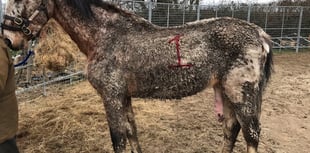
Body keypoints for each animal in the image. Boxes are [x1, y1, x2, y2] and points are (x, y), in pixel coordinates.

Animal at [1, 0, 274, 152]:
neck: (105, 36)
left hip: (242, 94)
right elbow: (132, 133)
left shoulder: (111, 97)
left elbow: (118, 139)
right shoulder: (123, 97)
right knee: (231, 129)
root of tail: (260, 34)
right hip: (226, 92)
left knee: (251, 135)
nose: (8, 40)